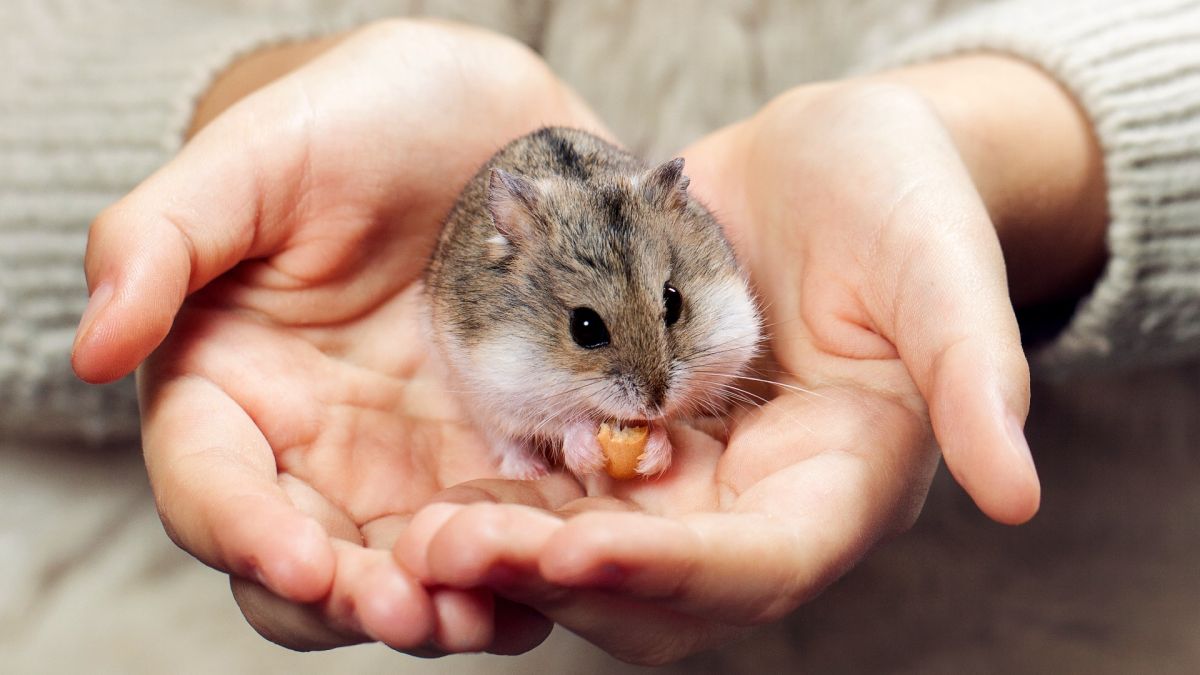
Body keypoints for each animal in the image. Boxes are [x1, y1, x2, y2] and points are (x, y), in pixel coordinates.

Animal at [425, 127, 761, 479]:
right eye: (585, 328)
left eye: (674, 301)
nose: (654, 405)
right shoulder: (500, 389)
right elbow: (561, 424)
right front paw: (585, 452)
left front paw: (654, 451)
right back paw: (530, 471)